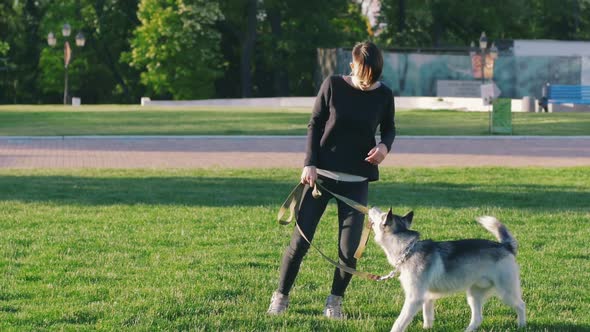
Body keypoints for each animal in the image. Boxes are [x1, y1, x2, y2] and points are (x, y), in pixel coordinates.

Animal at [370, 209, 528, 332]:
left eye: (381, 214)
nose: (371, 207)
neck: (409, 249)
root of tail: (505, 246)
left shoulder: (414, 298)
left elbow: (399, 322)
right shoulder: (427, 297)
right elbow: (427, 316)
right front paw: (427, 329)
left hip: (506, 292)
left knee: (521, 305)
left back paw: (521, 325)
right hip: (473, 295)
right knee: (477, 318)